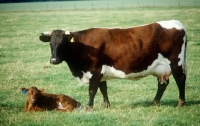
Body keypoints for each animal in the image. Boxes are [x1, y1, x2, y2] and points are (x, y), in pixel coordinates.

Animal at [39, 19, 188, 109]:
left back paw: (181, 103)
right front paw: (106, 105)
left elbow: (92, 90)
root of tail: (176, 23)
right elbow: (103, 88)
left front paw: (89, 107)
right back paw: (154, 102)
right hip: (161, 68)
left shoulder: (95, 70)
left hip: (176, 62)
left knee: (180, 80)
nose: (54, 60)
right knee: (163, 84)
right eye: (51, 44)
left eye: (63, 44)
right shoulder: (101, 72)